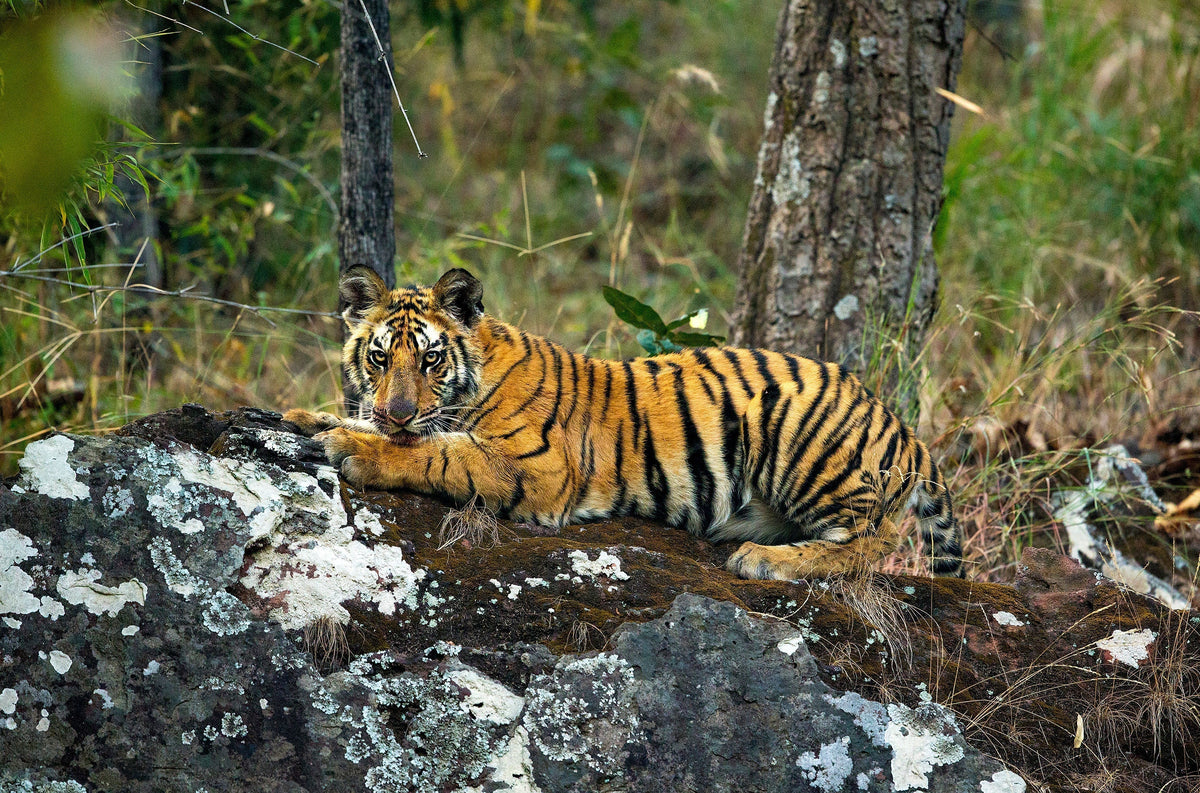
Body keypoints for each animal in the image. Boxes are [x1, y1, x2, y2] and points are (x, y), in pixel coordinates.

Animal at [284, 266, 964, 580]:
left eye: (429, 358)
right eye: (379, 357)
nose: (395, 410)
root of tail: (898, 422)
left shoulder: (536, 468)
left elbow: (440, 452)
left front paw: (358, 448)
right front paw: (310, 416)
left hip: (800, 439)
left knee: (875, 541)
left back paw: (768, 561)